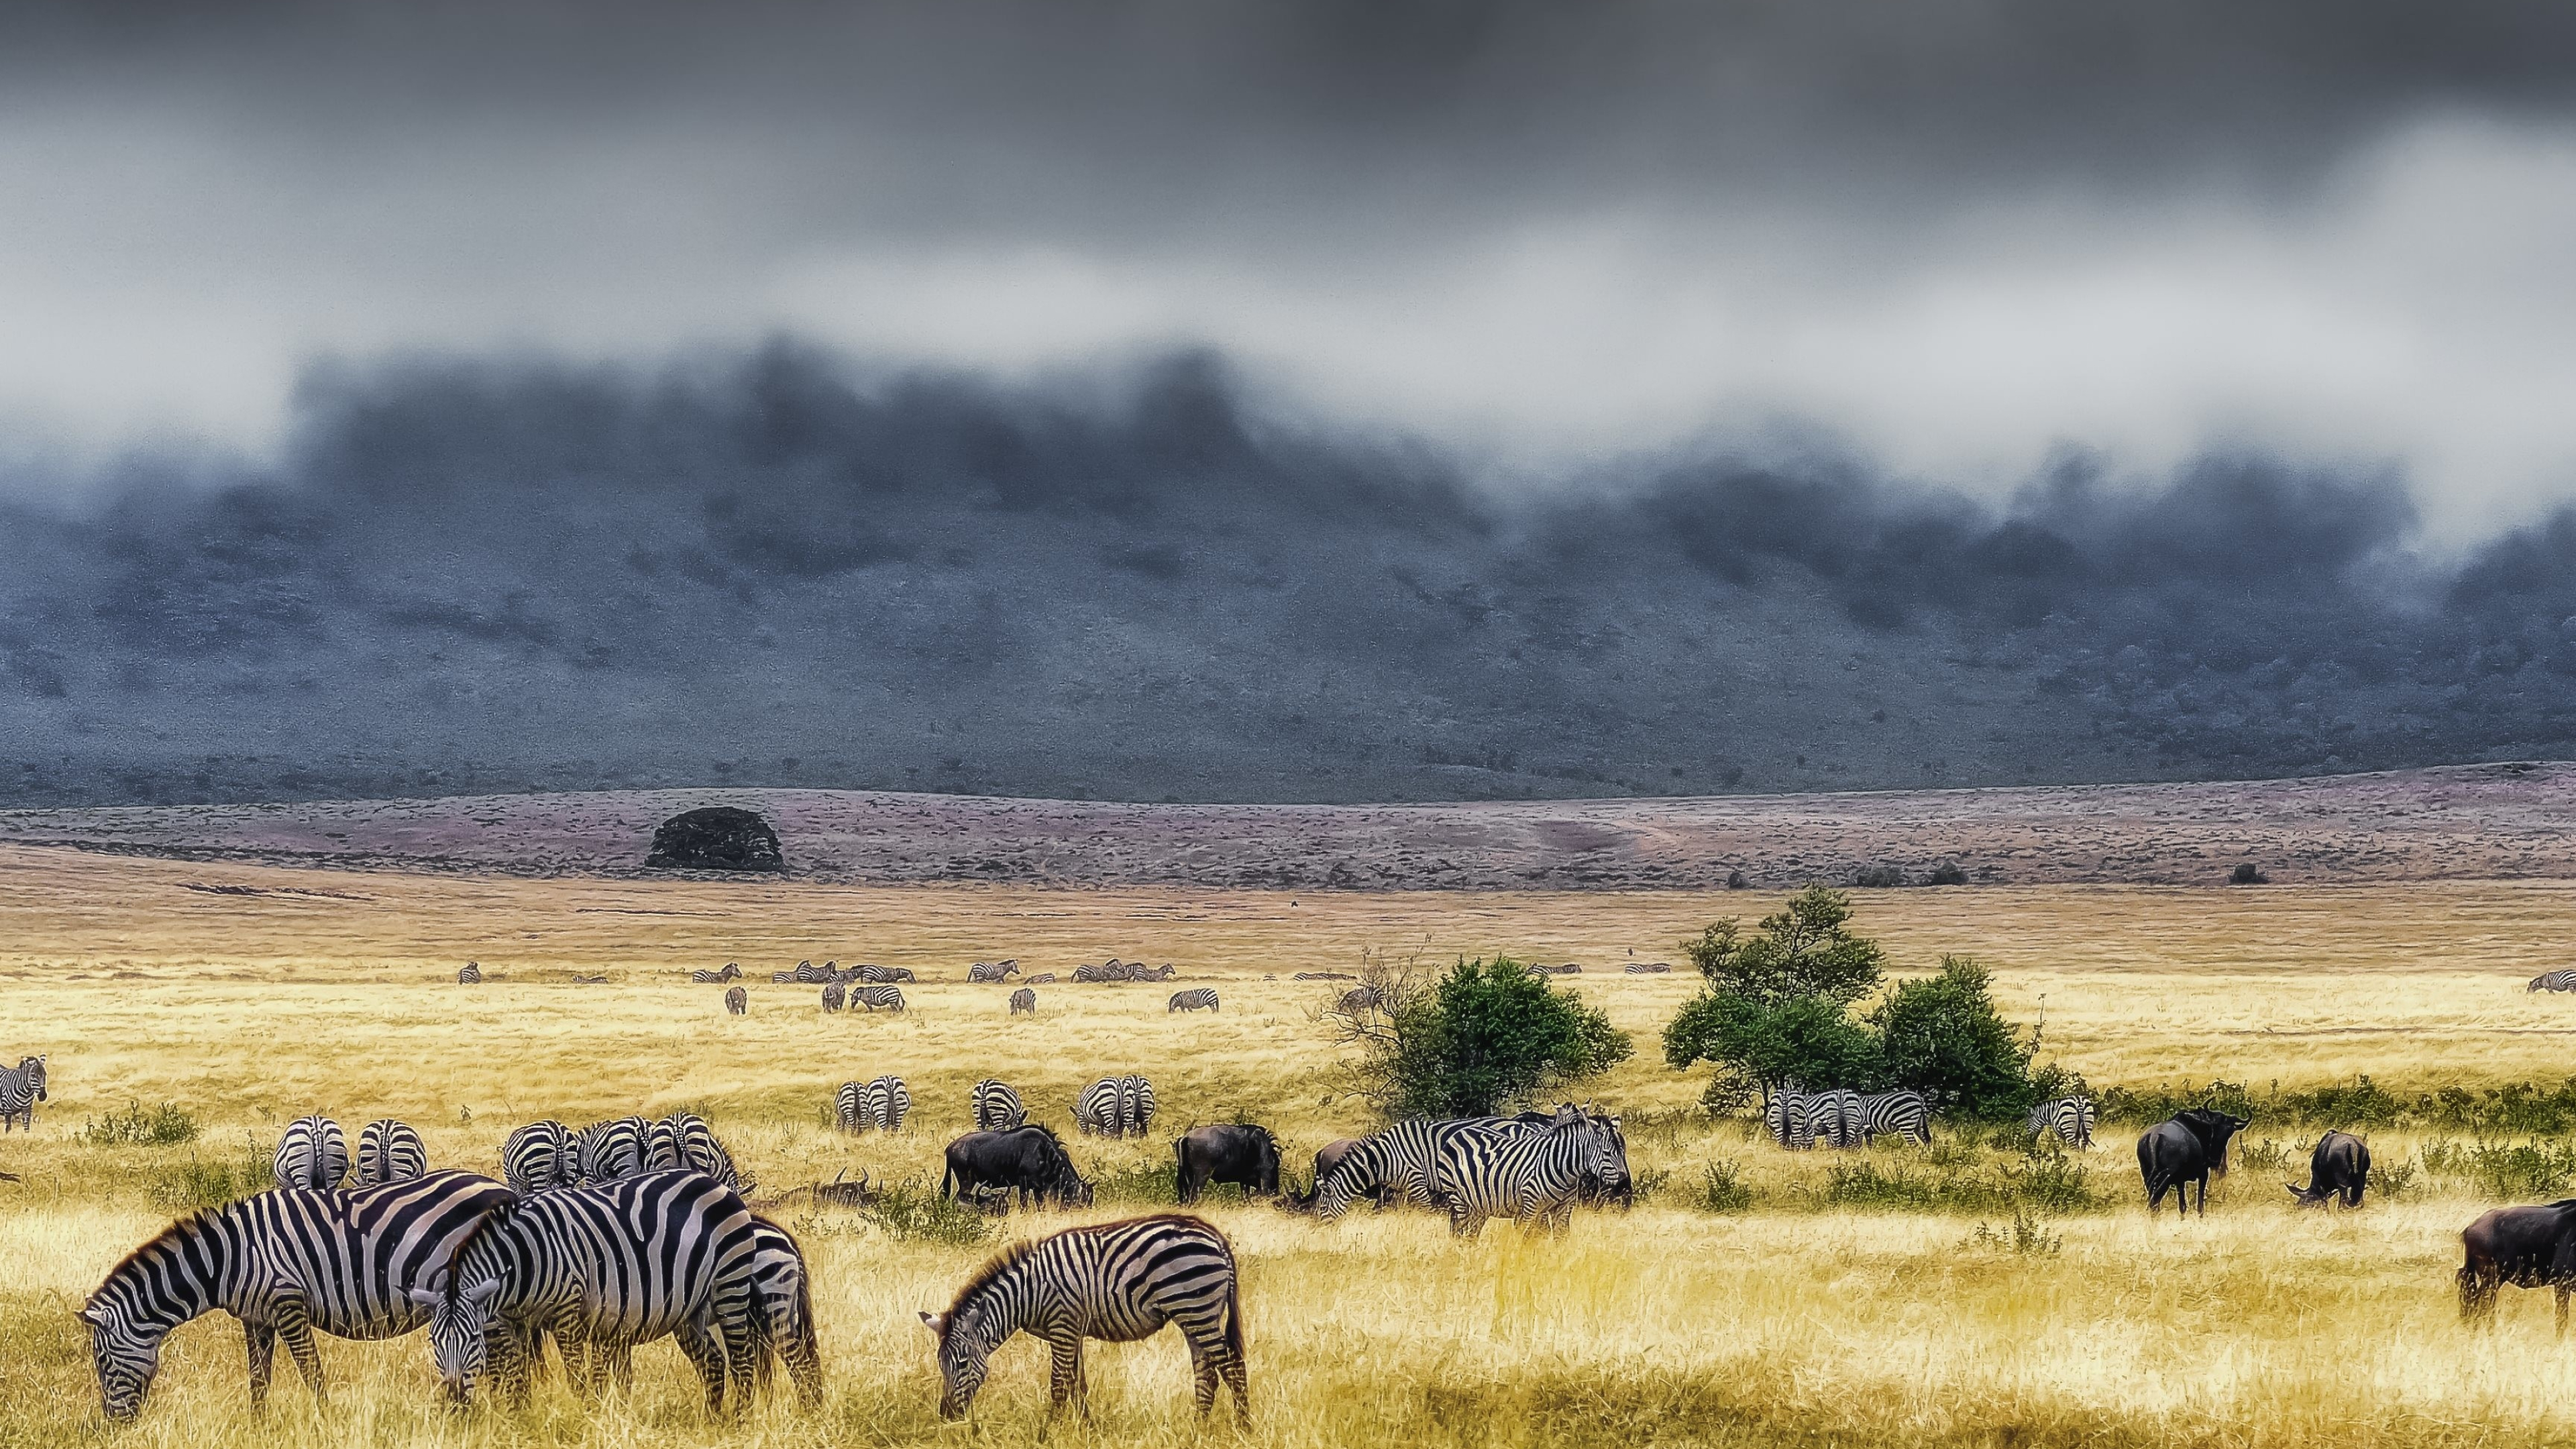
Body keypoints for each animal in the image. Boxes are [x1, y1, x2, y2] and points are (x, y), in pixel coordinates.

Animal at [81, 1160, 513, 1413]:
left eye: (102, 1361)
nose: (116, 1423)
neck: (229, 1258)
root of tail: (503, 1189)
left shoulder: (288, 1304)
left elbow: (312, 1374)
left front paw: (326, 1422)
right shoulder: (256, 1318)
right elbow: (259, 1381)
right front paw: (258, 1428)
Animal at [415, 1160, 762, 1413]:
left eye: (474, 1339)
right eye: (433, 1342)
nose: (455, 1402)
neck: (523, 1261)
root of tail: (715, 1183)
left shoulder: (567, 1314)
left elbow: (576, 1377)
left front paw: (583, 1415)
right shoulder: (516, 1322)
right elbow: (518, 1376)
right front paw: (520, 1417)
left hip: (730, 1284)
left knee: (741, 1358)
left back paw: (740, 1418)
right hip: (690, 1308)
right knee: (713, 1361)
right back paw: (712, 1418)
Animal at [922, 1206, 1252, 1423]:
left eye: (962, 1363)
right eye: (941, 1365)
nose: (947, 1415)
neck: (1028, 1292)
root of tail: (1216, 1237)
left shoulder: (1063, 1327)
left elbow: (1059, 1385)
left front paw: (1049, 1430)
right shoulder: (1073, 1329)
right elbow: (1077, 1385)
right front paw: (1086, 1427)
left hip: (1196, 1309)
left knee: (1232, 1368)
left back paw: (1243, 1426)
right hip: (1193, 1316)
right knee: (1207, 1374)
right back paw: (1199, 1428)